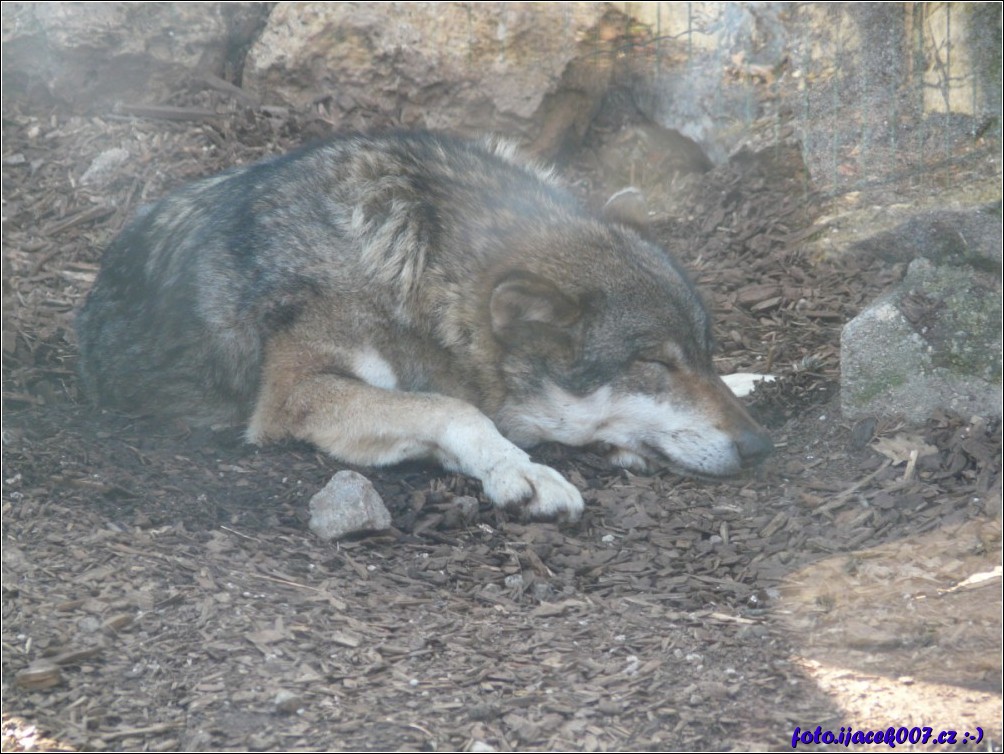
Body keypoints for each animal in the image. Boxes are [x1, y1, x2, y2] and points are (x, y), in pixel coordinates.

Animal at [76, 132, 767, 522]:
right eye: (656, 363)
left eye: (702, 353)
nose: (762, 446)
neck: (413, 267)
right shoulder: (298, 395)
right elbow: (452, 409)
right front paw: (524, 473)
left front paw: (748, 379)